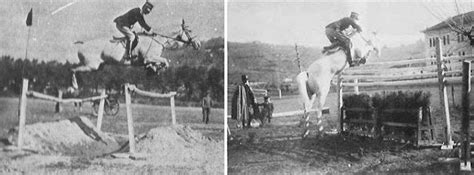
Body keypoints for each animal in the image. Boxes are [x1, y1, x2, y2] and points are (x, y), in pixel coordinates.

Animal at [70, 19, 200, 88]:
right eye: (190, 30)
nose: (198, 44)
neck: (158, 40)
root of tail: (82, 44)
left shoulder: (151, 59)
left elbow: (161, 63)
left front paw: (152, 70)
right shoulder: (149, 57)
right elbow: (165, 62)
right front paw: (155, 69)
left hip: (98, 67)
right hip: (91, 65)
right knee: (73, 70)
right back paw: (74, 86)